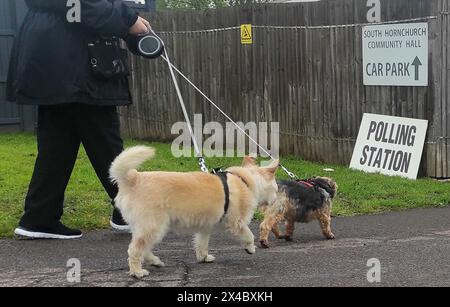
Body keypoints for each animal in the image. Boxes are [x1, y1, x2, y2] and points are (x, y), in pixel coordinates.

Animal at [109, 147, 278, 280]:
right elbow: (249, 235)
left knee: (143, 248)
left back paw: (154, 261)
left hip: (146, 228)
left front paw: (203, 257)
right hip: (154, 226)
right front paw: (250, 248)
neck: (244, 180)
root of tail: (133, 179)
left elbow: (202, 243)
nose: (276, 200)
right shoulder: (238, 222)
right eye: (276, 189)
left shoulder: (205, 227)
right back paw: (137, 272)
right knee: (135, 250)